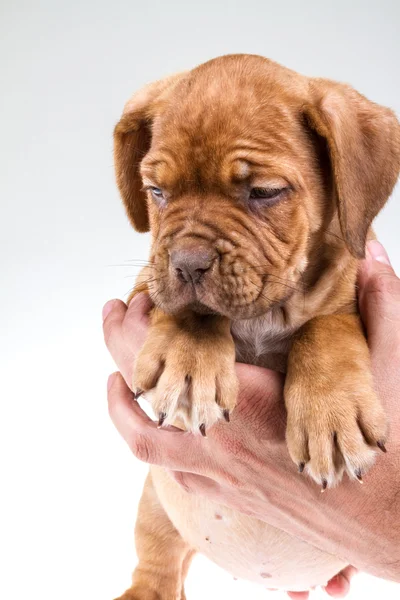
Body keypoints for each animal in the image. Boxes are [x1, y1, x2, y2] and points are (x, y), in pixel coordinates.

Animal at [112, 55, 400, 596]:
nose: (187, 264)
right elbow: (188, 310)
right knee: (158, 560)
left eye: (264, 193)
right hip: (156, 501)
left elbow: (327, 327)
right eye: (156, 192)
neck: (268, 313)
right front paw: (189, 364)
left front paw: (332, 415)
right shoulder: (147, 285)